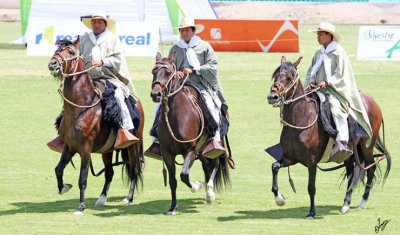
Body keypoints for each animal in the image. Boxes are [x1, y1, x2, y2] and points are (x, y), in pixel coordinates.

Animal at [47, 38, 144, 215]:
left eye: (70, 51)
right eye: (57, 50)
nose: (53, 64)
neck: (81, 106)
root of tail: (137, 103)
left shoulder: (85, 148)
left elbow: (83, 179)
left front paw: (80, 206)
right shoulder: (69, 146)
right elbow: (58, 169)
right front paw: (63, 187)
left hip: (133, 146)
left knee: (134, 170)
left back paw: (128, 198)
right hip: (107, 150)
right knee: (109, 172)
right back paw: (102, 198)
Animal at [151, 52, 231, 215]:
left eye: (168, 72)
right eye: (153, 72)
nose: (156, 94)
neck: (175, 117)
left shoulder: (191, 150)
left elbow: (184, 175)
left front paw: (197, 186)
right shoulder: (167, 153)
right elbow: (173, 181)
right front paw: (173, 207)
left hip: (213, 147)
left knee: (214, 165)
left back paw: (209, 193)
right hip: (201, 152)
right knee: (207, 167)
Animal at [266, 57, 390, 220]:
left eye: (289, 78)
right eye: (275, 76)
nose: (272, 97)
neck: (301, 119)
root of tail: (373, 101)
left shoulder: (311, 161)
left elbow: (311, 187)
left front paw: (311, 212)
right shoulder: (290, 158)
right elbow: (274, 167)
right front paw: (279, 198)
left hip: (366, 146)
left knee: (371, 168)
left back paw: (362, 202)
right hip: (349, 152)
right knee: (351, 173)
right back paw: (346, 203)